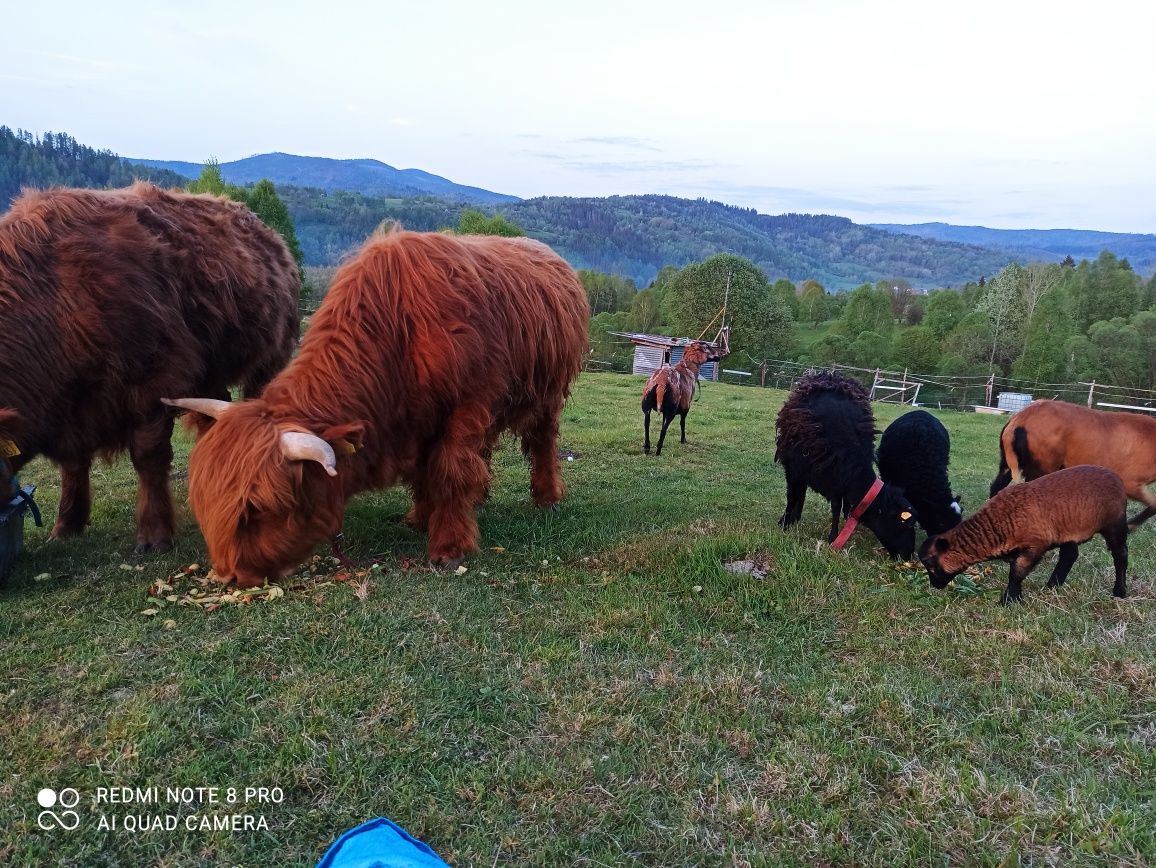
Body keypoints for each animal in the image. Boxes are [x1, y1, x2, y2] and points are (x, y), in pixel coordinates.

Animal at [0, 183, 302, 552]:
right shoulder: (73, 405)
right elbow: (73, 467)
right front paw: (66, 525)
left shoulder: (153, 380)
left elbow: (148, 458)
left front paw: (154, 535)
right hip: (207, 373)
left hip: (271, 356)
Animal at [167, 227, 591, 587]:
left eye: (257, 509)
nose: (229, 576)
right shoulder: (418, 421)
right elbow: (425, 473)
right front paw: (421, 517)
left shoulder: (468, 405)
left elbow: (450, 471)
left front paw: (449, 547)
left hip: (547, 393)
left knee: (542, 441)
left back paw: (546, 498)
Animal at [772, 369, 915, 559]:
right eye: (903, 523)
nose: (908, 555)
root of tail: (830, 374)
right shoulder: (796, 470)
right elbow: (792, 497)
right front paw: (786, 523)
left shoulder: (836, 479)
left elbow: (836, 506)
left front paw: (836, 532)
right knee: (799, 492)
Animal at [920, 469, 1128, 605]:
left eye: (931, 564)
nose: (934, 586)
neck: (998, 522)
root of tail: (1115, 477)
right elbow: (1016, 571)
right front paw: (1017, 597)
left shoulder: (1035, 545)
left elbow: (1017, 573)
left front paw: (1007, 601)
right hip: (1067, 529)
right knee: (1070, 555)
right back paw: (1052, 586)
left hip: (1115, 524)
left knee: (1121, 556)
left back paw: (1119, 592)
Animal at [984, 399, 1156, 529]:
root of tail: (1020, 419)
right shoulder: (1130, 483)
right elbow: (1154, 505)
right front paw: (1130, 526)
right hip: (1041, 468)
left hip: (1008, 465)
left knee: (996, 488)